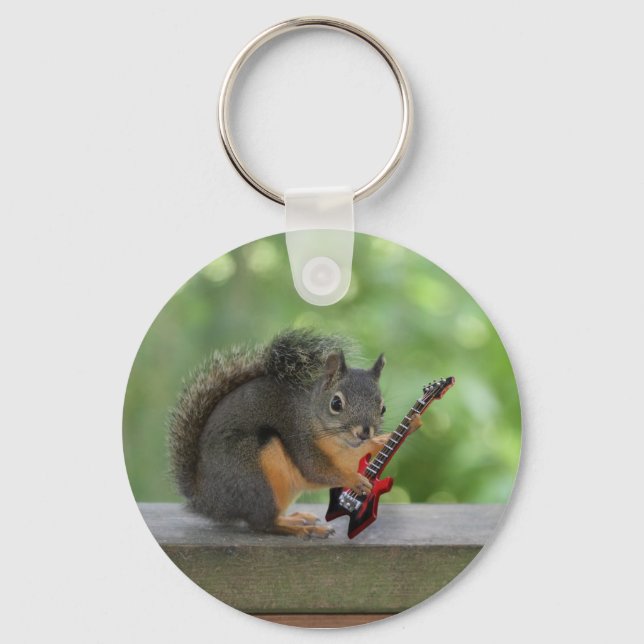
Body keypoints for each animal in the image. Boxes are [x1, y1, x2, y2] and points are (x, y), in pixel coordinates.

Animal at [168, 328, 421, 538]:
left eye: (383, 408)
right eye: (336, 404)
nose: (364, 432)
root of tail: (206, 500)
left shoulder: (350, 453)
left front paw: (399, 431)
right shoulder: (297, 433)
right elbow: (317, 470)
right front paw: (355, 480)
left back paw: (296, 519)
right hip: (251, 474)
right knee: (262, 524)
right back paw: (303, 529)